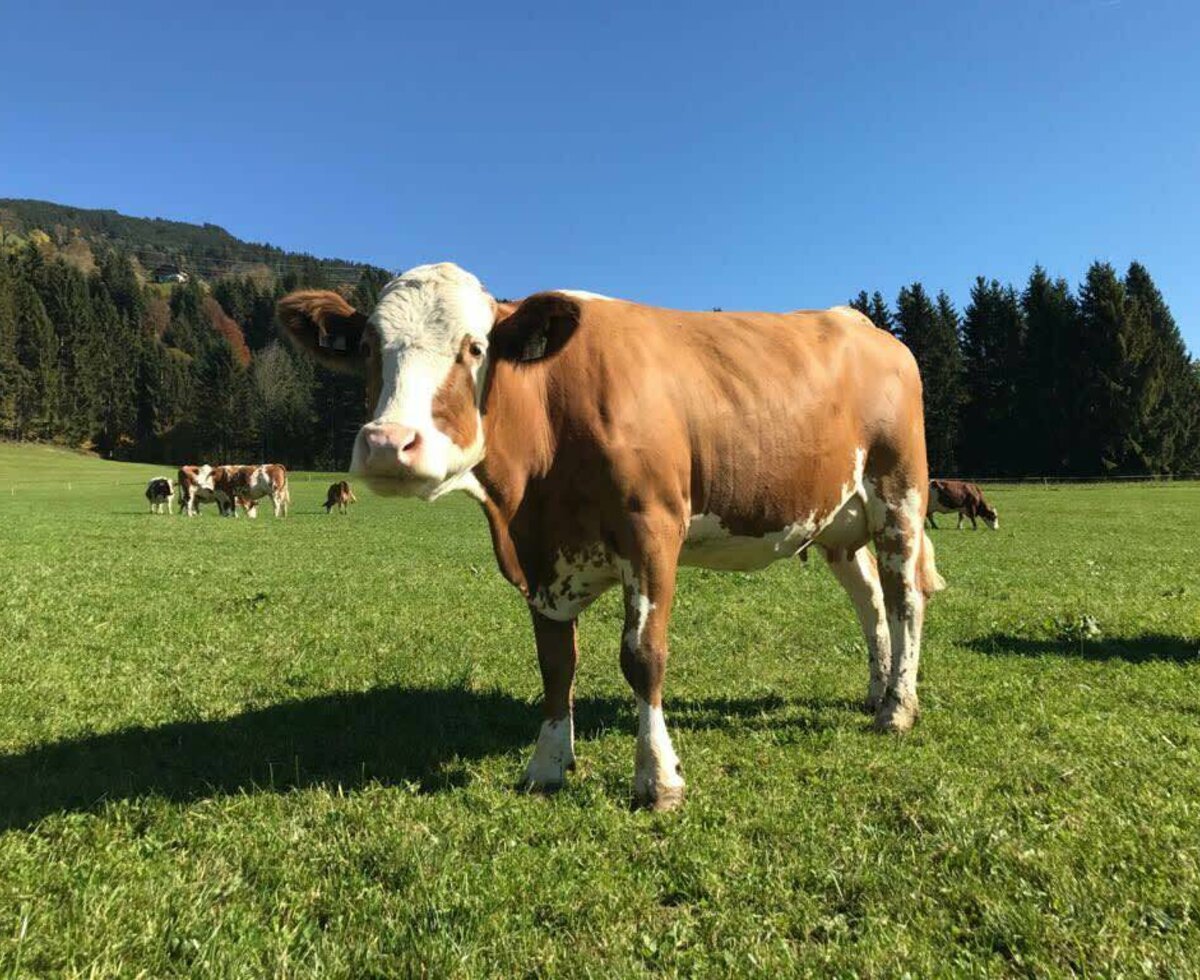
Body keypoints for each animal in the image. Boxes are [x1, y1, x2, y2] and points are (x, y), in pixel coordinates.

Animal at [276, 261, 940, 810]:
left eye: (474, 347)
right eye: (368, 347)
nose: (389, 444)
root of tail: (861, 323)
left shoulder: (653, 530)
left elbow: (642, 657)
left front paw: (657, 779)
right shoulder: (540, 560)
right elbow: (555, 664)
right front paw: (546, 766)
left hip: (900, 491)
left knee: (904, 597)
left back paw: (898, 709)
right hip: (837, 522)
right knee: (869, 601)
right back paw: (877, 690)